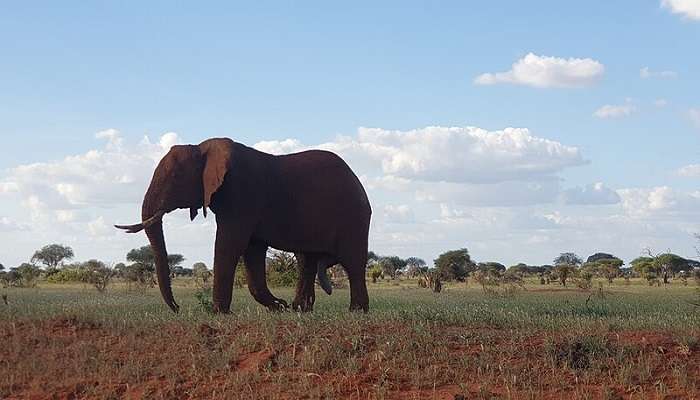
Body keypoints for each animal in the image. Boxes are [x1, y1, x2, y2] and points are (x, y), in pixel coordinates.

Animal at [116, 138, 372, 312]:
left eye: (176, 178)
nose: (178, 308)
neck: (202, 148)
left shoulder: (242, 194)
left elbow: (230, 244)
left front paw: (218, 313)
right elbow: (252, 250)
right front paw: (279, 307)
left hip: (354, 217)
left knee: (352, 262)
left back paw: (356, 311)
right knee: (306, 261)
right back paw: (300, 309)